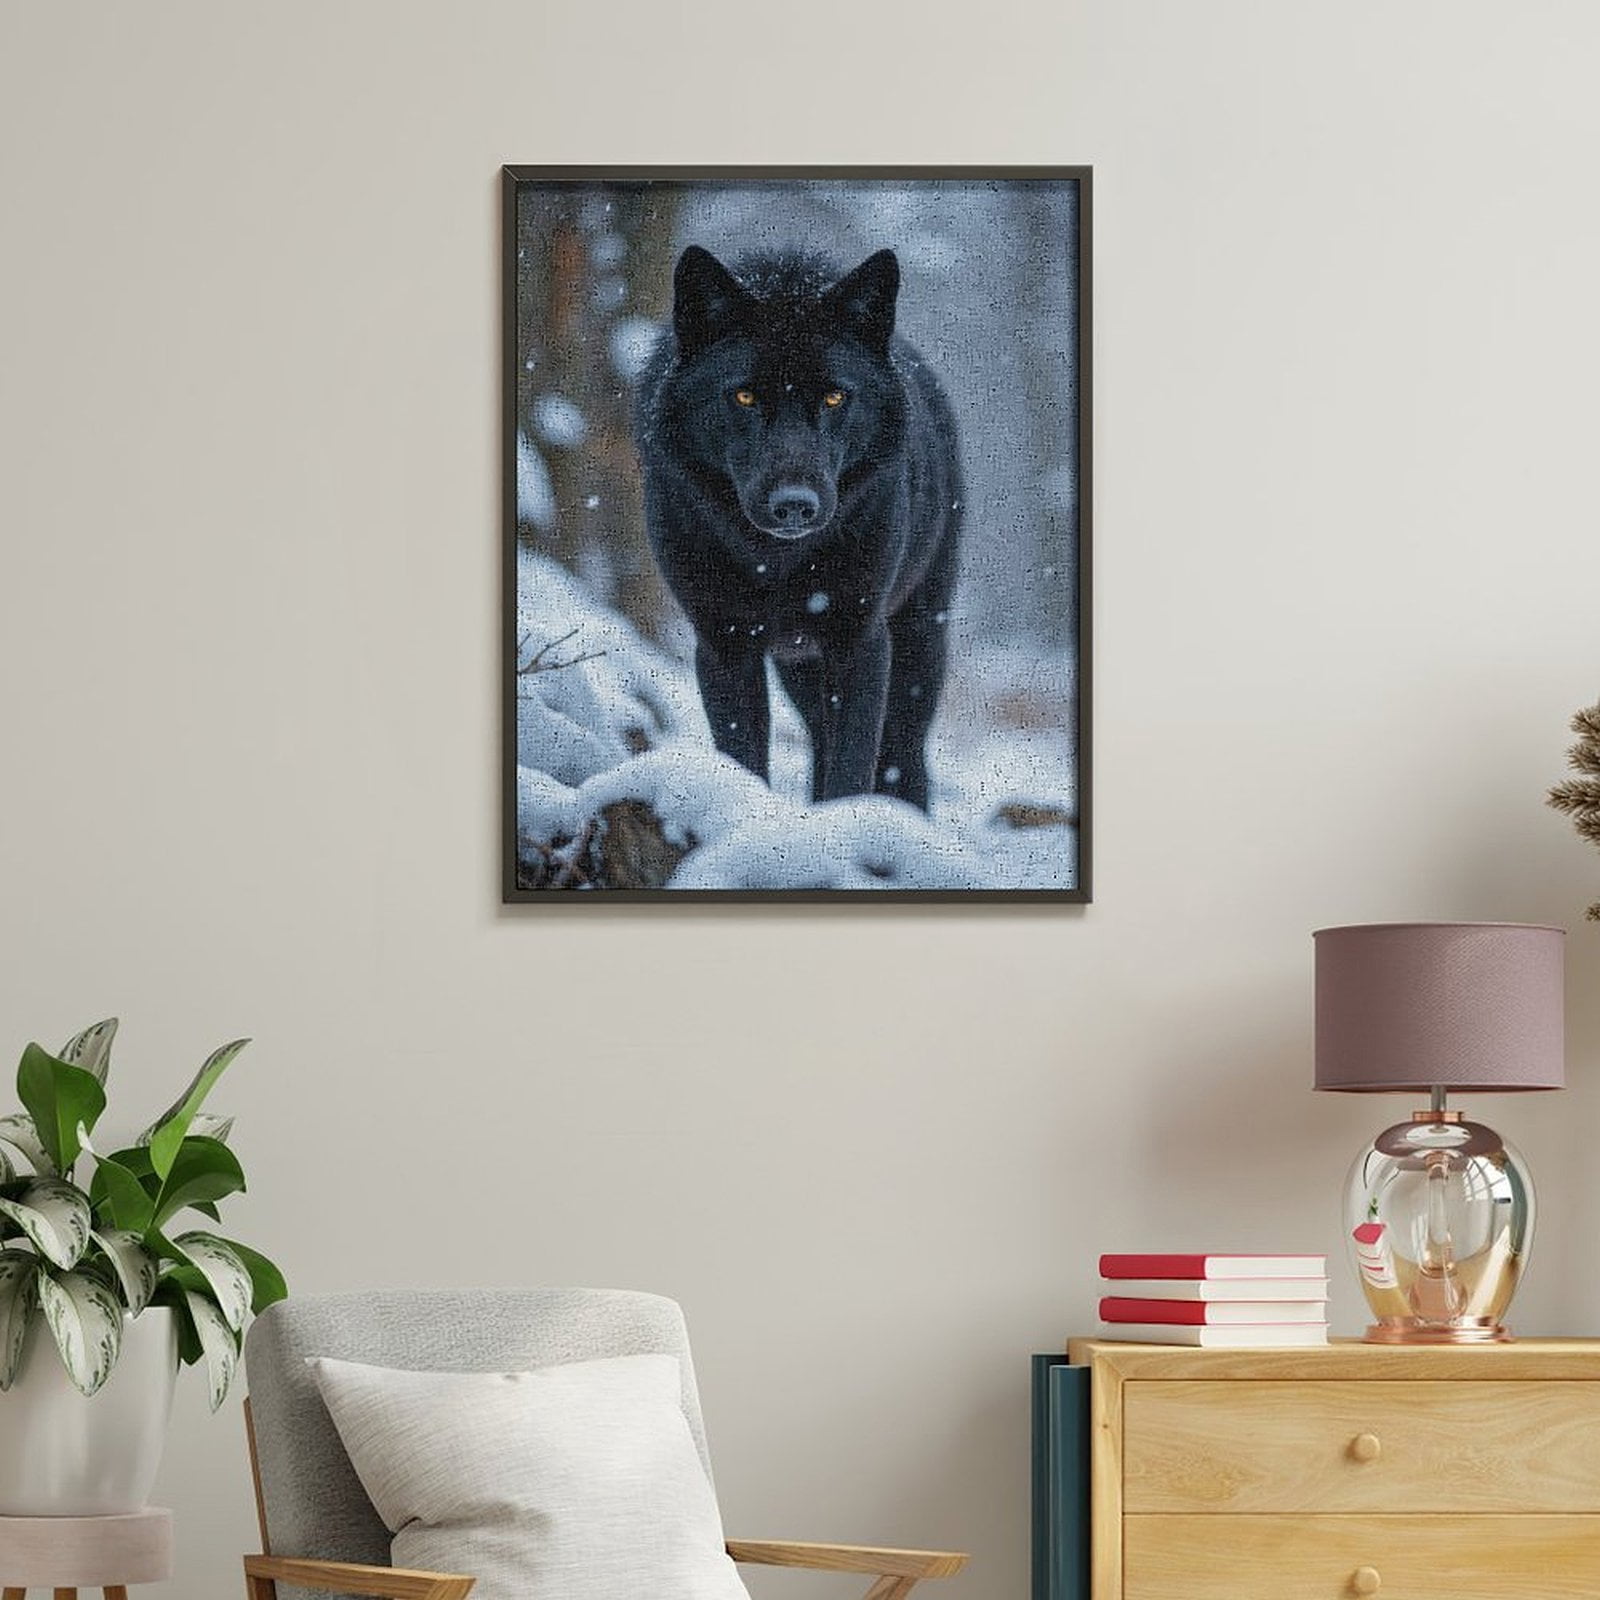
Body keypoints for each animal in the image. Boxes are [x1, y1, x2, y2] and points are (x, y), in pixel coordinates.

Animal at [634, 244, 963, 811]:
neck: (777, 561)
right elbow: (745, 757)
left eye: (834, 398)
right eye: (744, 397)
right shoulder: (725, 645)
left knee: (902, 759)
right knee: (818, 742)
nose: (795, 505)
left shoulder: (859, 641)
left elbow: (852, 768)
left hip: (918, 645)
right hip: (799, 666)